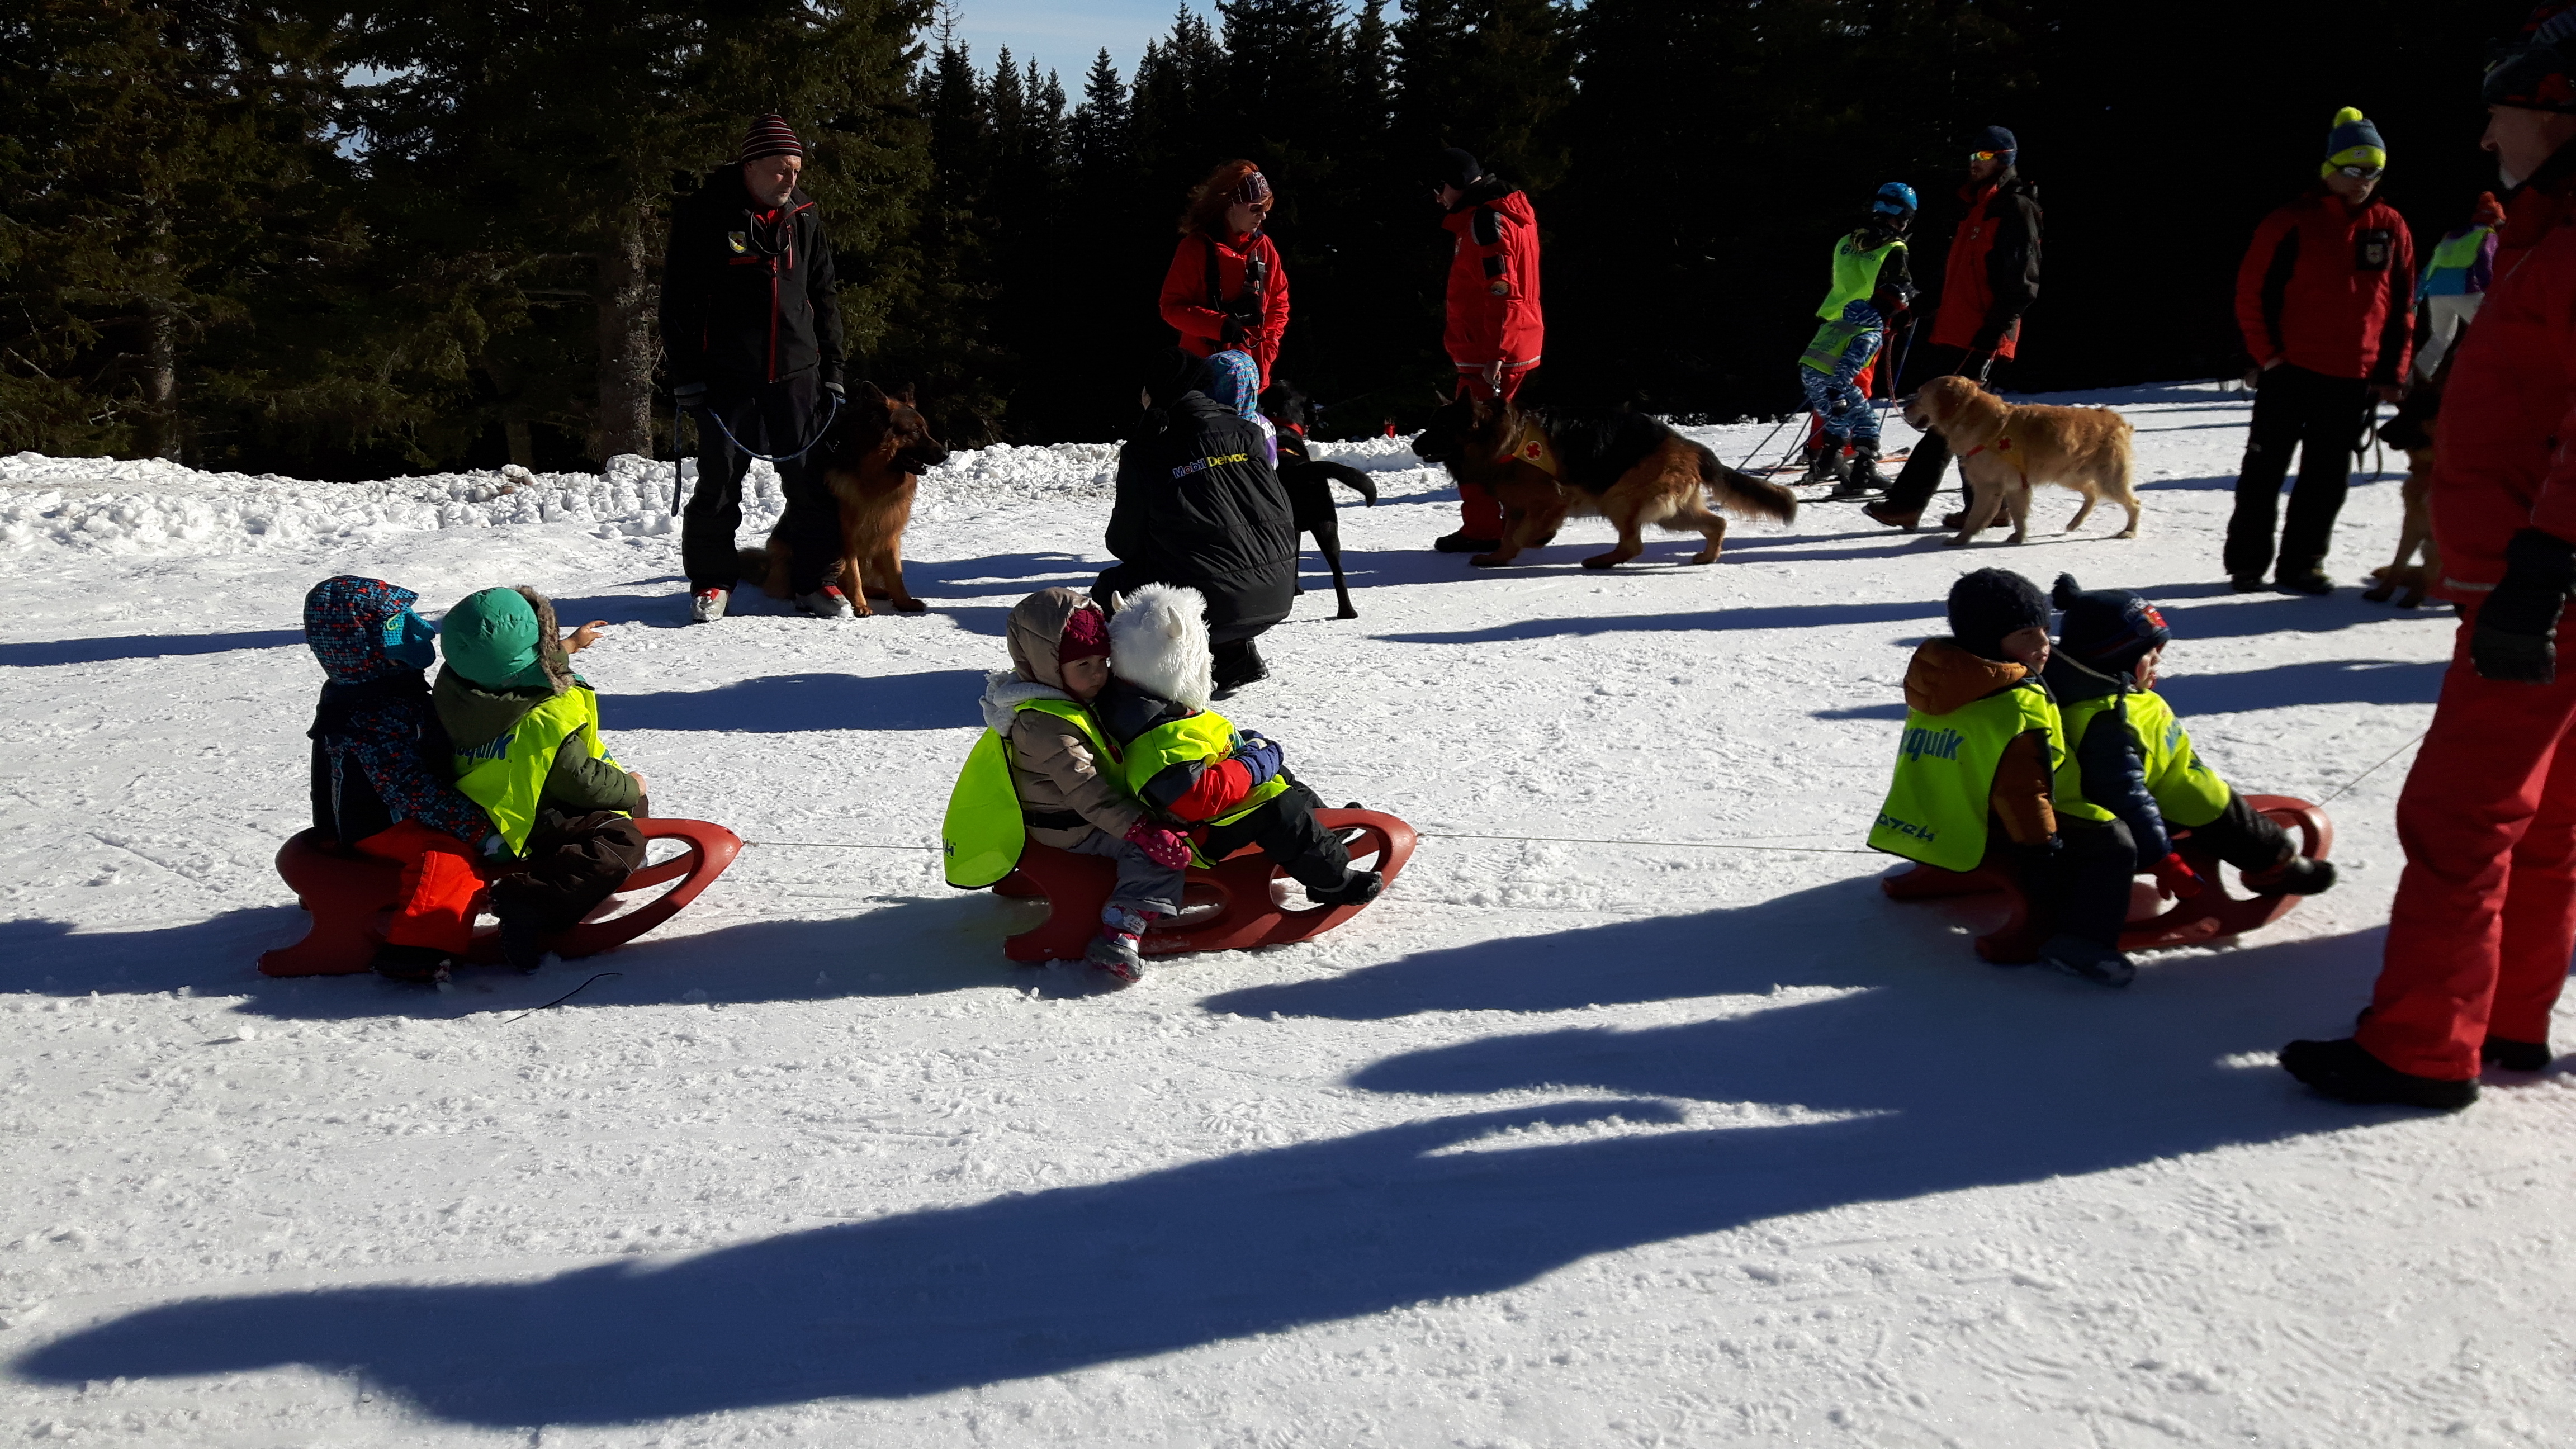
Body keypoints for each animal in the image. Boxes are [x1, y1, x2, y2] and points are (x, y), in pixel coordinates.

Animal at [736, 381, 948, 611]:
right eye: (915, 431)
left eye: (925, 429)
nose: (946, 454)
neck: (872, 475)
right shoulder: (847, 540)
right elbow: (853, 574)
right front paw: (860, 605)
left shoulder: (889, 534)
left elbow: (895, 572)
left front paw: (903, 602)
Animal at [1412, 392, 1793, 567]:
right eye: (1430, 425)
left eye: (1440, 427)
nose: (1414, 445)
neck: (1502, 439)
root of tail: (1686, 444)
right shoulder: (1517, 506)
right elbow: (1507, 535)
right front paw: (1499, 558)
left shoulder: (1552, 500)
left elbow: (1524, 532)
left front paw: (1539, 539)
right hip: (1672, 514)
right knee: (1717, 523)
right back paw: (1707, 556)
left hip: (1620, 499)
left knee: (1634, 545)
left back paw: (1602, 561)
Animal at [1906, 371, 2143, 546]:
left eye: (1920, 395)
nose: (1906, 409)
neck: (1982, 422)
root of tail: (2117, 418)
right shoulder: (2014, 486)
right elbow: (2019, 516)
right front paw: (2018, 537)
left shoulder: (1991, 486)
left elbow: (1975, 517)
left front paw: (1960, 539)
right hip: (2070, 475)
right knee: (2092, 495)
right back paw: (2074, 524)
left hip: (2109, 480)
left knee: (2134, 504)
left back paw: (2129, 532)